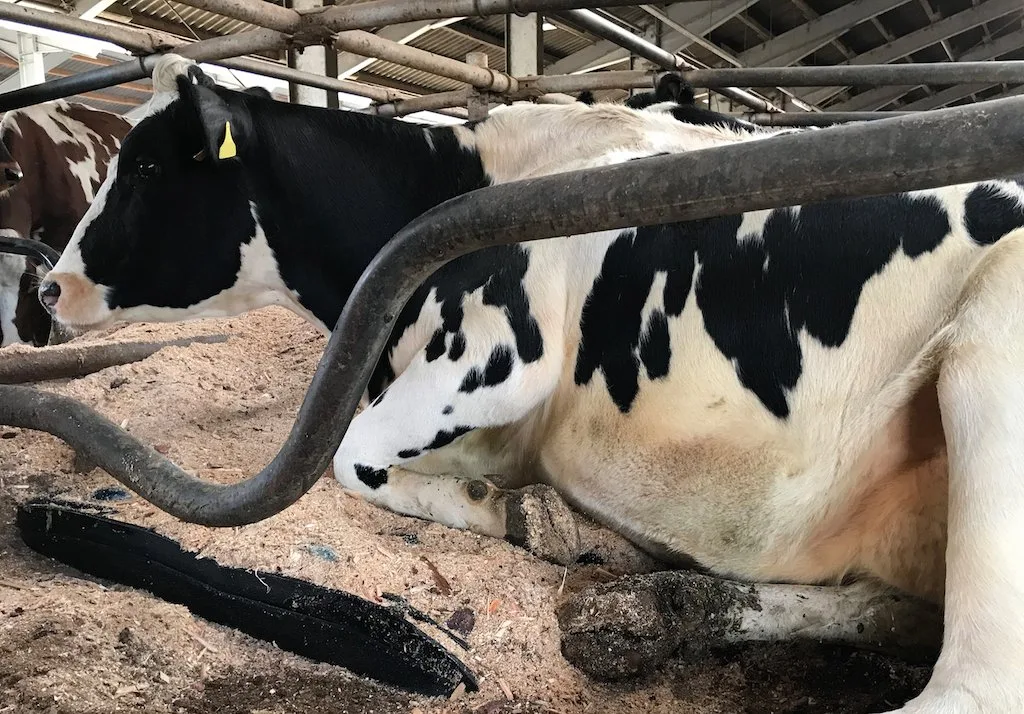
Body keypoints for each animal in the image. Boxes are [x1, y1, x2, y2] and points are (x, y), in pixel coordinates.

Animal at [38, 54, 1024, 713]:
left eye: (148, 167)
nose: (48, 286)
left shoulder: (500, 357)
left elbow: (351, 457)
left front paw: (518, 515)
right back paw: (654, 604)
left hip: (990, 362)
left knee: (972, 681)